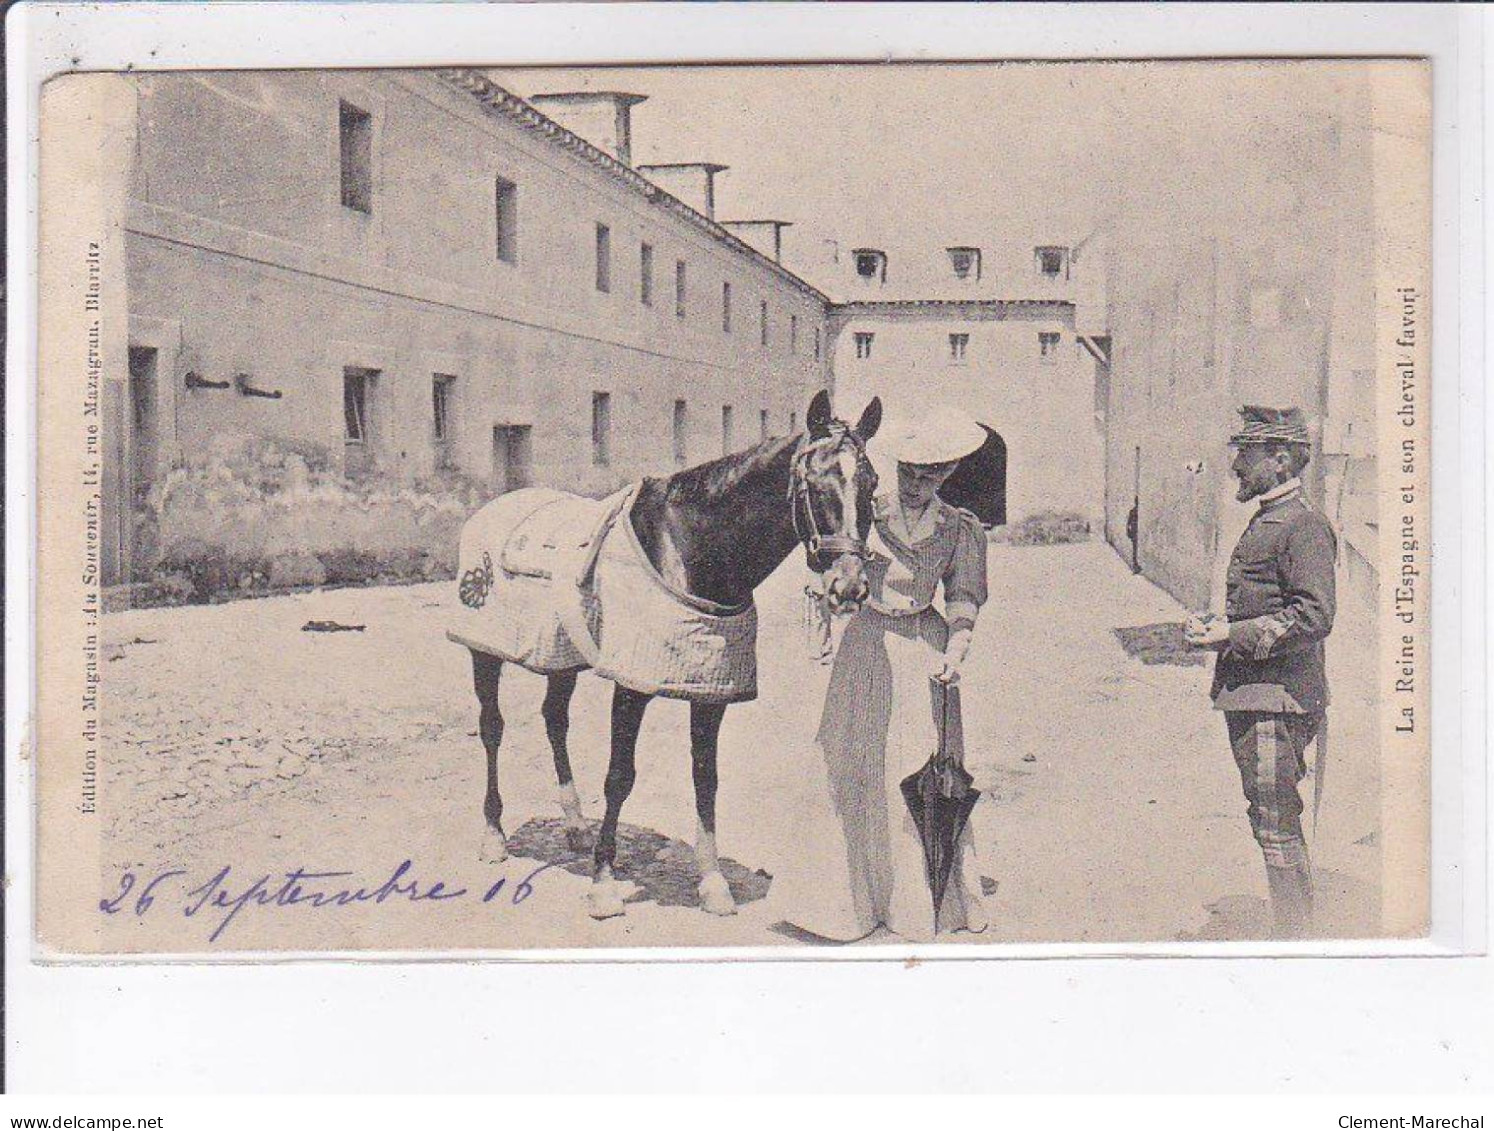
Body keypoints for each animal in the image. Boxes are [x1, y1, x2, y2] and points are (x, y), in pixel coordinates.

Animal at [460, 388, 878, 920]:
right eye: (815, 483)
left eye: (871, 484)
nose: (850, 587)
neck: (686, 547)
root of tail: (494, 507)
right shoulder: (632, 685)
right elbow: (620, 777)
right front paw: (603, 883)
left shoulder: (710, 688)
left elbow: (706, 778)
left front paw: (712, 882)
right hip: (483, 652)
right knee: (492, 728)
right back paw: (493, 834)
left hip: (560, 656)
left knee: (554, 718)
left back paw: (574, 825)